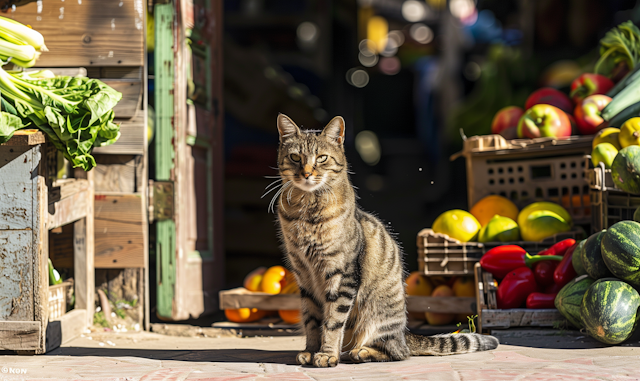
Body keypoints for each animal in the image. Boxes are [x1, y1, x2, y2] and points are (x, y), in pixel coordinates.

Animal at [272, 113, 498, 366]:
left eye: (321, 158)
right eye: (295, 157)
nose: (307, 174)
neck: (306, 210)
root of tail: (405, 333)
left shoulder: (342, 275)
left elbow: (332, 321)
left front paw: (327, 354)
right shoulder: (305, 277)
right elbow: (312, 320)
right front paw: (311, 351)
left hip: (377, 316)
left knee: (397, 352)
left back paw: (361, 352)